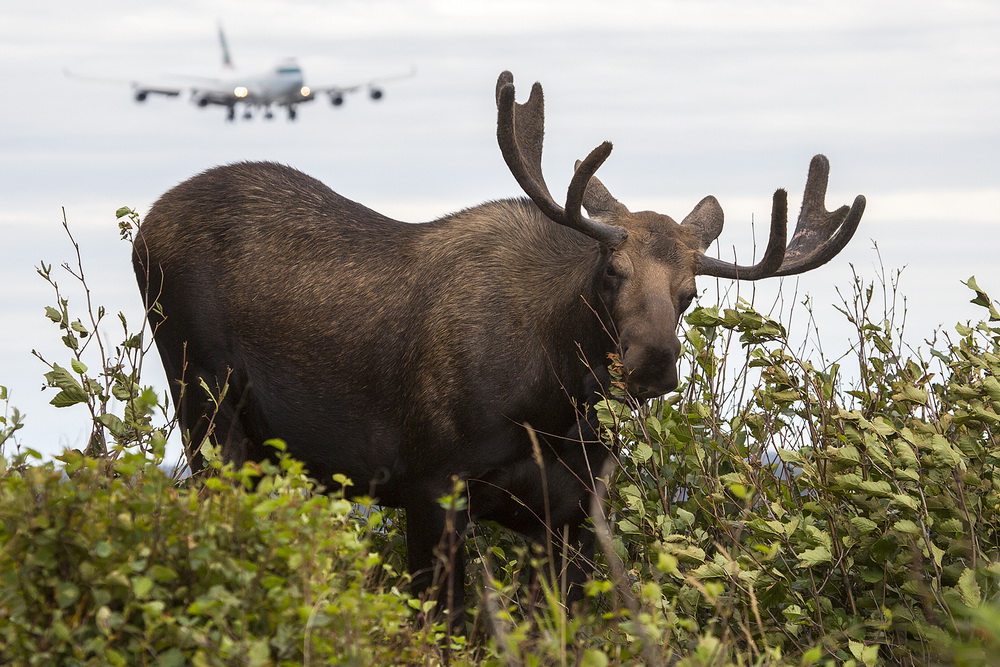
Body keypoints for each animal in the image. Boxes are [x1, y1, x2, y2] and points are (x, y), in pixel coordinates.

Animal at [135, 72, 868, 628]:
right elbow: (442, 627)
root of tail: (146, 226)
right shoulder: (431, 485)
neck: (549, 406)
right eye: (612, 270)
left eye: (689, 293)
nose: (653, 361)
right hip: (204, 402)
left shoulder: (571, 515)